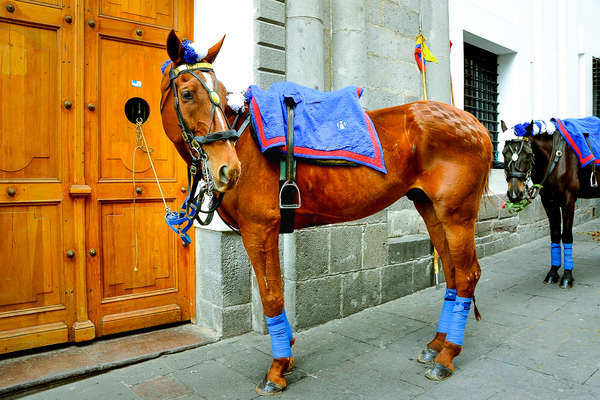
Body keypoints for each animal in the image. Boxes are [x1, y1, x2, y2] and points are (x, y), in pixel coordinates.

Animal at [161, 31, 492, 394]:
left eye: (218, 95)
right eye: (188, 93)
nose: (228, 169)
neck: (246, 141)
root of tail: (476, 125)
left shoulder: (259, 230)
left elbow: (271, 295)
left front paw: (277, 368)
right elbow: (276, 291)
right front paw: (287, 354)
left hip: (457, 214)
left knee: (468, 275)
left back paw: (447, 356)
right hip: (431, 209)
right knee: (452, 271)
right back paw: (437, 344)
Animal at [502, 120, 600, 290]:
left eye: (528, 154)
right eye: (503, 153)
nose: (515, 194)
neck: (556, 159)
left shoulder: (568, 201)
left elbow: (566, 235)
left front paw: (567, 276)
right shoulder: (549, 202)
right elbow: (554, 235)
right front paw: (553, 272)